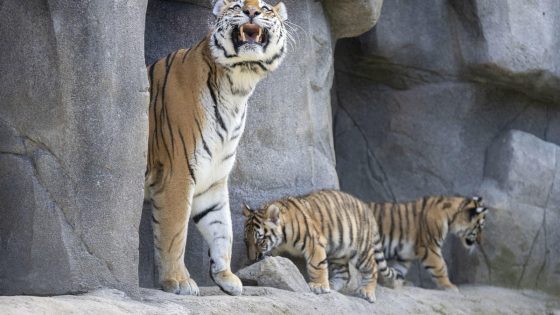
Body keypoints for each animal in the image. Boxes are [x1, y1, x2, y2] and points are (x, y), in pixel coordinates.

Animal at [144, 0, 286, 298]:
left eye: (266, 7)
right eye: (238, 5)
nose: (252, 12)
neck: (237, 87)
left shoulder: (213, 178)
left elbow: (222, 228)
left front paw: (226, 277)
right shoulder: (177, 173)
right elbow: (174, 232)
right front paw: (178, 281)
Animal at [243, 190, 404, 304]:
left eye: (259, 240)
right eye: (246, 242)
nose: (251, 258)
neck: (283, 239)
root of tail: (367, 208)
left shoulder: (314, 242)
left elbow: (317, 265)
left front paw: (319, 286)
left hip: (361, 251)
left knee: (372, 268)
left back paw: (367, 292)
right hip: (338, 251)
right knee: (344, 274)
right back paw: (332, 285)